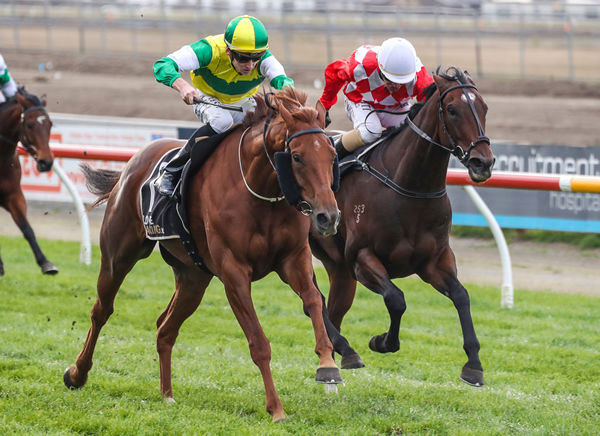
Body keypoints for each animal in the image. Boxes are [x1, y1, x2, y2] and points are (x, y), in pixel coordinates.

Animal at [0, 86, 57, 274]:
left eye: (50, 124)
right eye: (30, 125)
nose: (46, 162)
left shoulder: (14, 195)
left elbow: (27, 228)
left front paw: (45, 262)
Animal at [64, 88, 342, 422]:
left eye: (332, 156)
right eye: (297, 156)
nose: (329, 216)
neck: (260, 191)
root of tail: (133, 163)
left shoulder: (293, 259)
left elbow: (313, 299)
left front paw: (328, 366)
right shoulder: (234, 274)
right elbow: (259, 343)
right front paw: (276, 408)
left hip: (193, 277)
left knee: (165, 328)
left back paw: (167, 394)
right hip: (118, 256)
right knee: (101, 310)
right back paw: (77, 373)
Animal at [312, 66, 494, 386]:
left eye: (484, 107)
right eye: (452, 109)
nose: (482, 162)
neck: (409, 187)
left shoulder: (434, 260)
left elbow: (461, 295)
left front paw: (473, 364)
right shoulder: (362, 258)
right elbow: (397, 299)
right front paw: (382, 341)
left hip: (339, 268)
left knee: (333, 306)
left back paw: (338, 352)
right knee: (314, 297)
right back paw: (345, 349)